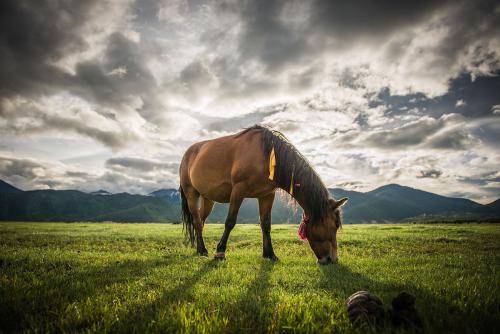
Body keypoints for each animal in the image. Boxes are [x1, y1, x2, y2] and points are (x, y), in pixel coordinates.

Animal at [179, 124, 348, 264]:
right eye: (333, 226)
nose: (332, 259)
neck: (266, 155)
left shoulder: (267, 195)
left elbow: (266, 225)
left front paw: (270, 254)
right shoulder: (238, 191)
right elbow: (230, 222)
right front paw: (220, 252)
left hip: (208, 198)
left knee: (201, 221)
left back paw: (199, 248)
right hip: (191, 193)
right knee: (196, 221)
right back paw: (203, 250)